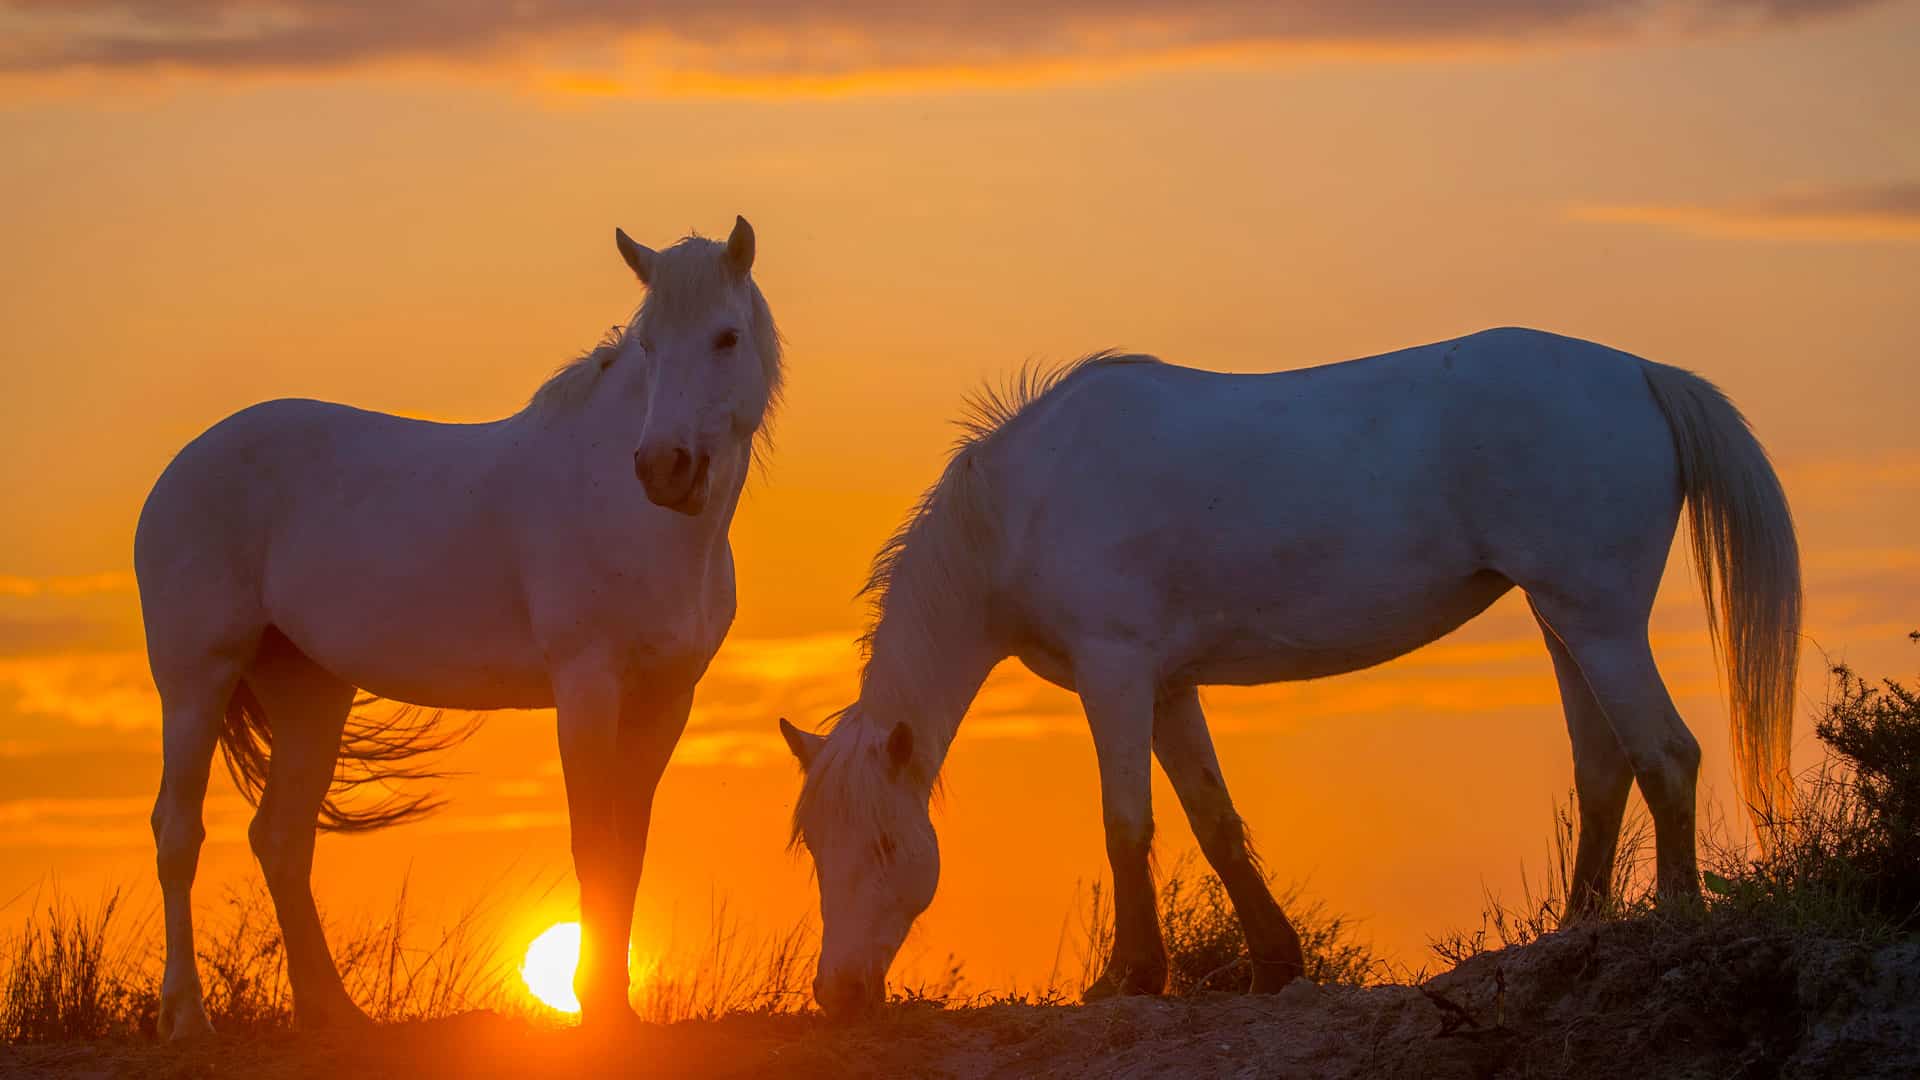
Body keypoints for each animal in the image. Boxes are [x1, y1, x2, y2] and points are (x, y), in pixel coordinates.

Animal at [135, 216, 783, 1037]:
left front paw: (619, 1007)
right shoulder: (587, 689)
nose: (662, 467)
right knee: (178, 834)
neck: (636, 518)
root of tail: (181, 468)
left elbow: (628, 849)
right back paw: (186, 1014)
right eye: (649, 345)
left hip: (311, 692)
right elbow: (592, 840)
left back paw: (334, 1013)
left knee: (279, 838)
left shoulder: (666, 702)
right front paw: (596, 1007)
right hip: (195, 681)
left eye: (726, 337)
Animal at [779, 328, 1797, 1006]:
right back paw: (1574, 932)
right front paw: (1275, 961)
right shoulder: (1168, 685)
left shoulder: (1117, 674)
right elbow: (1212, 820)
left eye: (884, 846)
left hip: (1601, 622)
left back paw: (1674, 920)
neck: (1023, 503)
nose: (840, 994)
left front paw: (1129, 978)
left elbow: (1126, 825)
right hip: (1565, 625)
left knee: (1666, 756)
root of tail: (1639, 373)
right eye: (817, 850)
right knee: (1603, 769)